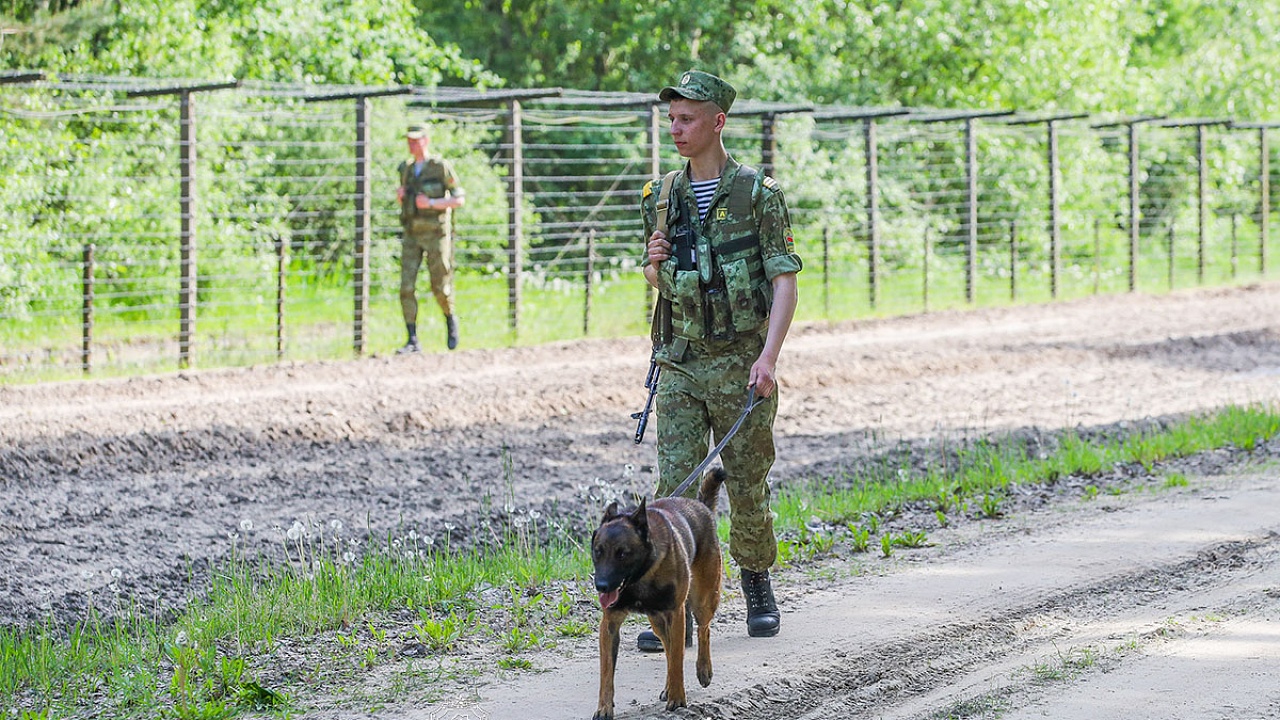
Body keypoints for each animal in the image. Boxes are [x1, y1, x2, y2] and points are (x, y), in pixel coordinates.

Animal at [586, 468, 721, 712]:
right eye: (598, 551)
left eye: (622, 553)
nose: (600, 586)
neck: (640, 577)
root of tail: (700, 506)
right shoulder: (609, 623)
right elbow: (606, 672)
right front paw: (604, 709)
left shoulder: (676, 613)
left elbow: (677, 660)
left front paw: (677, 698)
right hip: (658, 622)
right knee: (667, 647)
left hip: (703, 600)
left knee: (702, 629)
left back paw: (703, 669)